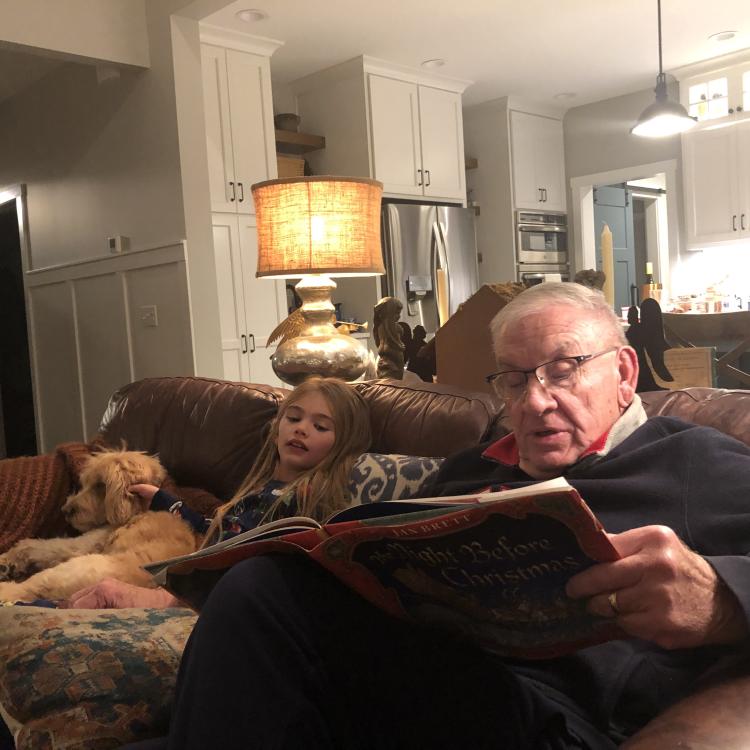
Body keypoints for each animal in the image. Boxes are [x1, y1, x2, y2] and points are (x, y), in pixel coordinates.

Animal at [0, 450, 201, 604]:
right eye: (84, 483)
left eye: (100, 485)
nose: (65, 510)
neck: (137, 511)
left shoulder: (81, 544)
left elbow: (37, 546)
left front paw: (7, 558)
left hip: (74, 568)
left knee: (29, 586)